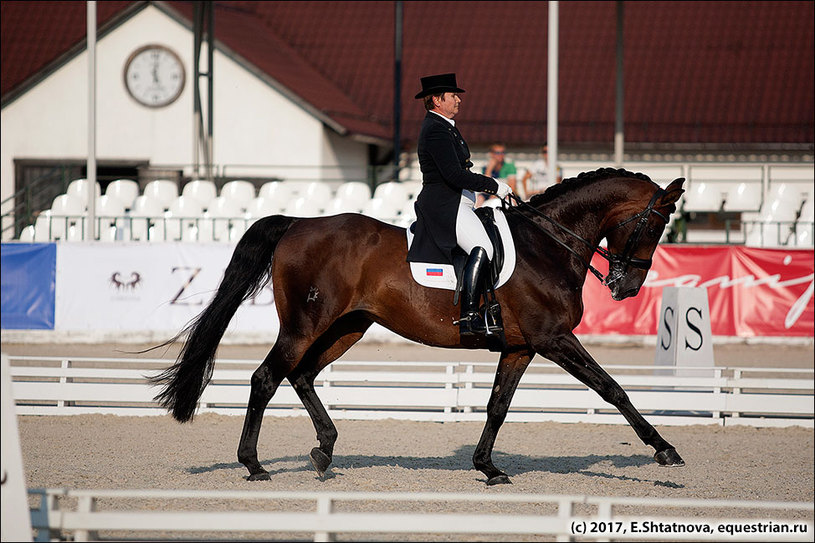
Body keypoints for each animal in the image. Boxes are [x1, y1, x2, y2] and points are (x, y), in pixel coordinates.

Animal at [150, 168, 684, 486]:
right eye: (656, 224)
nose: (626, 287)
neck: (546, 245)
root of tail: (298, 223)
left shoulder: (521, 347)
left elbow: (497, 407)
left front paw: (488, 467)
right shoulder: (554, 339)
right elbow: (612, 388)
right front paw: (665, 450)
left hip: (347, 327)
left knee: (301, 375)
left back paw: (324, 450)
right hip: (306, 324)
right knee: (266, 377)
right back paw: (254, 463)